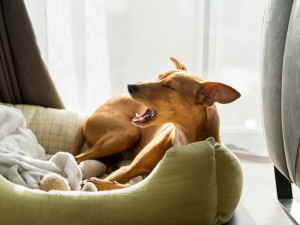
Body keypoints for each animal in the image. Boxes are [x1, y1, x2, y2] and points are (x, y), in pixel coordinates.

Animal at [69, 57, 240, 190]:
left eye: (170, 86)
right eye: (158, 77)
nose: (130, 85)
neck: (181, 136)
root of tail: (90, 115)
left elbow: (127, 186)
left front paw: (100, 183)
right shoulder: (129, 168)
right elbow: (121, 184)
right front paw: (97, 184)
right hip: (126, 135)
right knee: (76, 157)